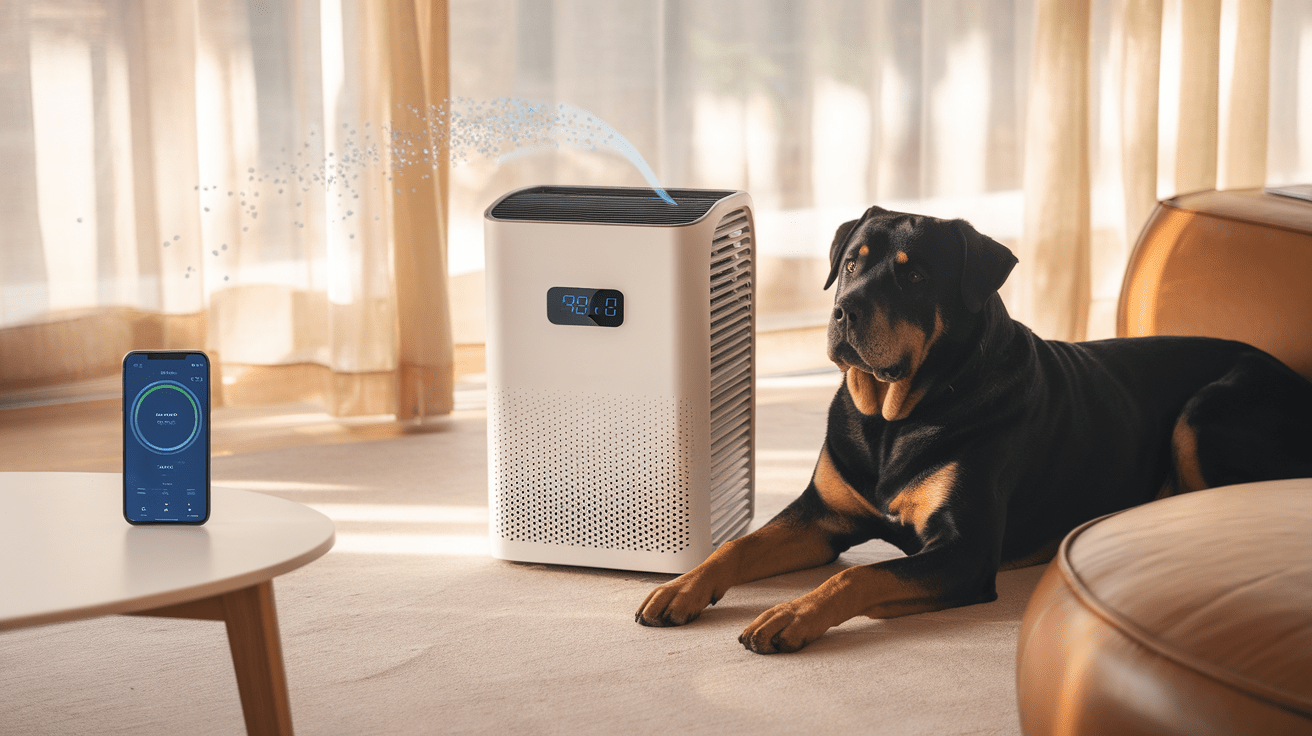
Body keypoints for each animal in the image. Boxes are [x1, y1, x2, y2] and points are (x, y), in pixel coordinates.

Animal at [635, 203, 1312, 650]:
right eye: (851, 264)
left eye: (912, 275)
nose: (843, 310)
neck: (895, 417)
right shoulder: (821, 514)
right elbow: (738, 546)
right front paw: (681, 587)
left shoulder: (965, 551)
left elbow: (857, 574)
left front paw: (790, 614)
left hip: (1205, 411)